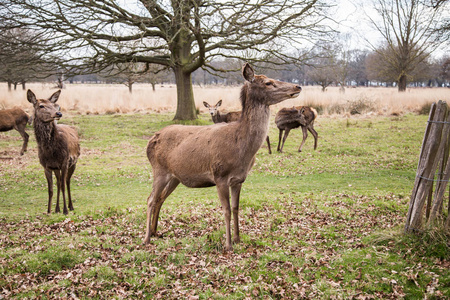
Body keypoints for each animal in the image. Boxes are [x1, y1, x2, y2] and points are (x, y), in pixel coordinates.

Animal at [145, 62, 302, 251]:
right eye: (268, 83)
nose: (297, 86)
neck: (241, 149)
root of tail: (150, 141)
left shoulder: (239, 179)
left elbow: (235, 208)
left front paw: (238, 239)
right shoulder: (220, 175)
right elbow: (226, 210)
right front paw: (228, 245)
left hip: (175, 176)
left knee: (160, 198)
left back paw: (156, 232)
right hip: (159, 169)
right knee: (150, 199)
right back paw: (146, 238)